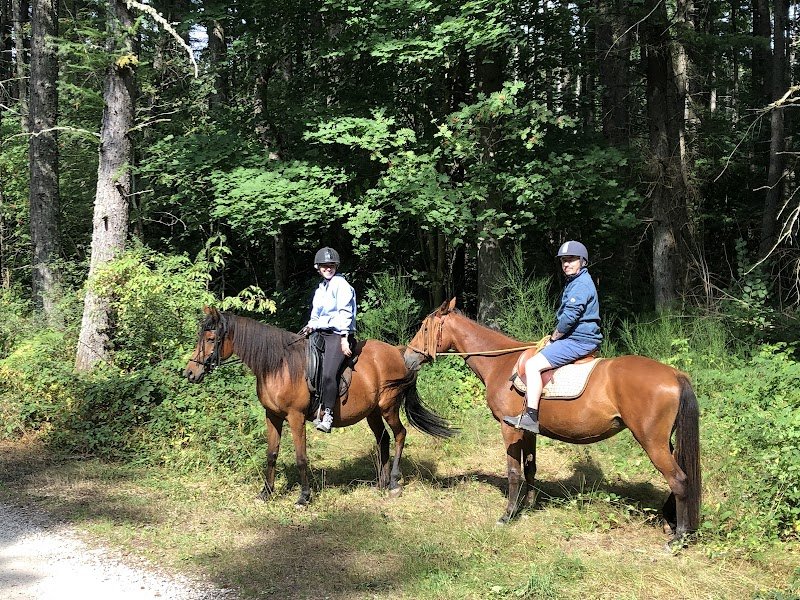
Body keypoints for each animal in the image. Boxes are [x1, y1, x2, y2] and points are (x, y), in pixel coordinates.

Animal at [184, 307, 456, 506]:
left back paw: (394, 484)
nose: (190, 373)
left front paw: (303, 497)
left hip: (388, 407)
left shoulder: (295, 417)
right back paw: (381, 482)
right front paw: (266, 493)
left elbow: (301, 458)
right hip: (372, 413)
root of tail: (400, 353)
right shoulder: (272, 416)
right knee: (383, 440)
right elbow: (271, 454)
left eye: (211, 339)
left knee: (400, 435)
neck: (278, 366)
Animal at [403, 299, 701, 544]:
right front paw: (528, 506)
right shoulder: (527, 430)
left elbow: (513, 472)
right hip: (665, 442)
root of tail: (674, 375)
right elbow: (531, 467)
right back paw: (669, 522)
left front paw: (508, 515)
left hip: (652, 441)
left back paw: (679, 535)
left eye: (425, 328)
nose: (407, 357)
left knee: (678, 479)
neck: (502, 363)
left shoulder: (509, 429)